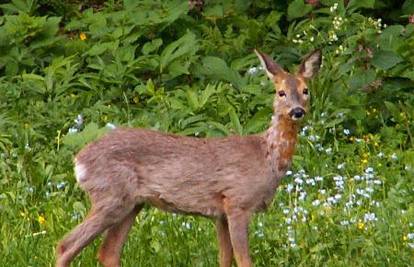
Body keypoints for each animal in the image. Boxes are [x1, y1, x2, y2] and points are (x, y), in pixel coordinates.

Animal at [55, 48, 322, 267]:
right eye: (281, 92)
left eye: (305, 90)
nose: (297, 111)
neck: (266, 157)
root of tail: (79, 161)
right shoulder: (238, 201)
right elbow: (244, 260)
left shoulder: (220, 213)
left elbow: (224, 259)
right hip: (110, 196)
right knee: (66, 245)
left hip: (132, 203)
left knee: (108, 252)